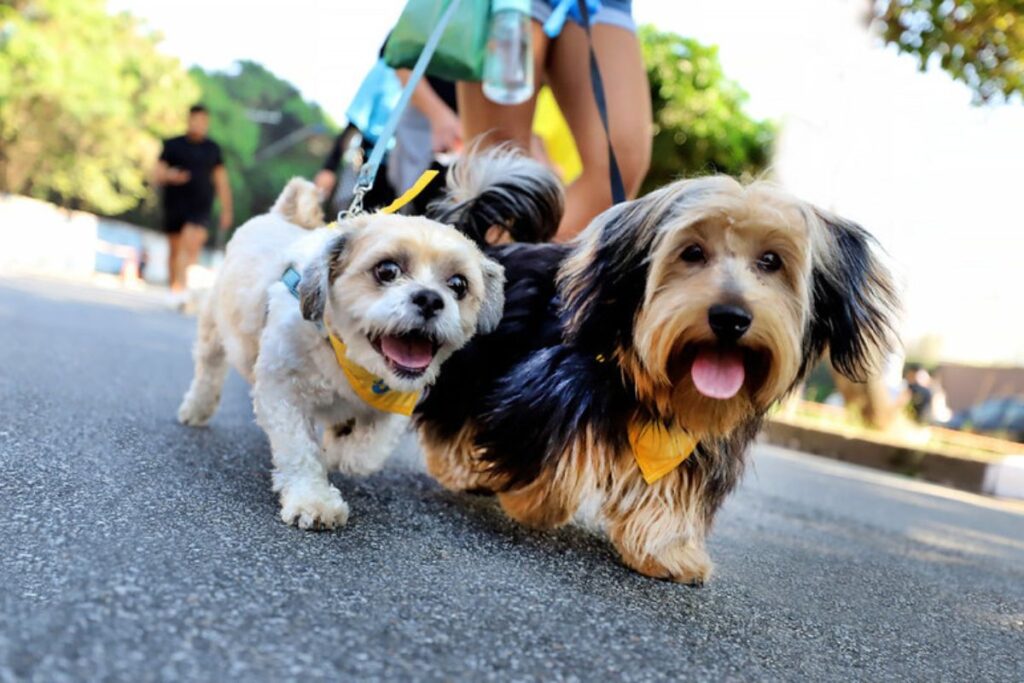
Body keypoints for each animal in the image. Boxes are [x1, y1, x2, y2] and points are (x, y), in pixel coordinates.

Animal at [175, 175, 520, 528]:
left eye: (458, 285)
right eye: (387, 270)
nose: (429, 298)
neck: (351, 361)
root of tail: (281, 215)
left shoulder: (398, 402)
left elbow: (366, 452)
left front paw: (338, 452)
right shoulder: (281, 392)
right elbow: (301, 451)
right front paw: (313, 499)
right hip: (213, 328)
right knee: (208, 369)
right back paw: (197, 408)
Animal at [415, 152, 897, 585]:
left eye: (771, 261)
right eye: (693, 252)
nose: (730, 318)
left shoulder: (692, 441)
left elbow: (670, 492)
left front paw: (666, 551)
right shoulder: (549, 387)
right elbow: (552, 451)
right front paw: (533, 502)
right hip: (473, 361)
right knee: (449, 414)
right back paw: (457, 469)